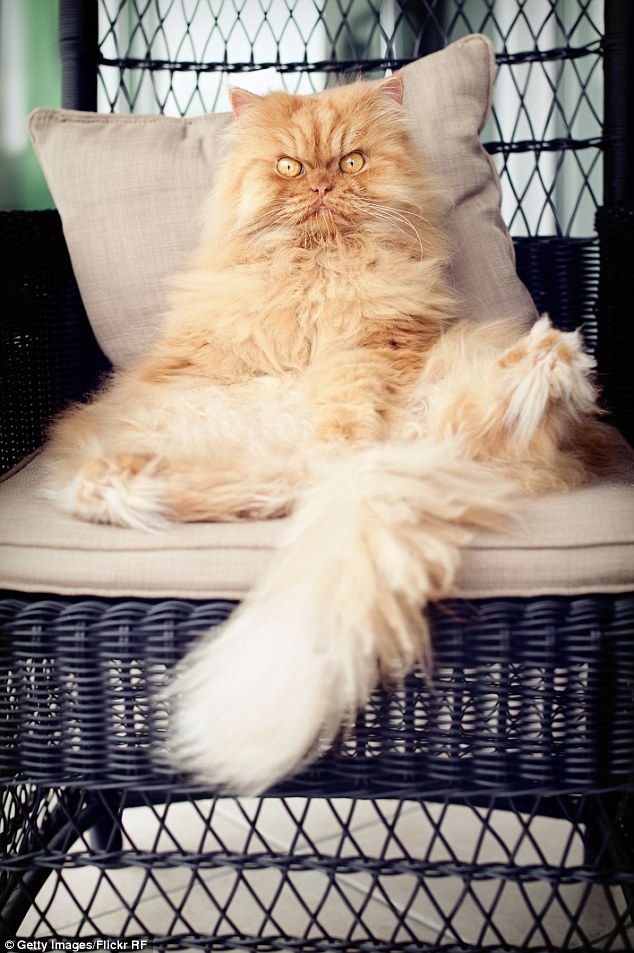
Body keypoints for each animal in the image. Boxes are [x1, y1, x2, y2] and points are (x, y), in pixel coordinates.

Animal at [44, 74, 604, 792]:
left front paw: (342, 423)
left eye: (352, 162)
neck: (321, 271)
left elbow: (349, 390)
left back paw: (550, 363)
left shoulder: (372, 349)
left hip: (440, 406)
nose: (319, 185)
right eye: (289, 168)